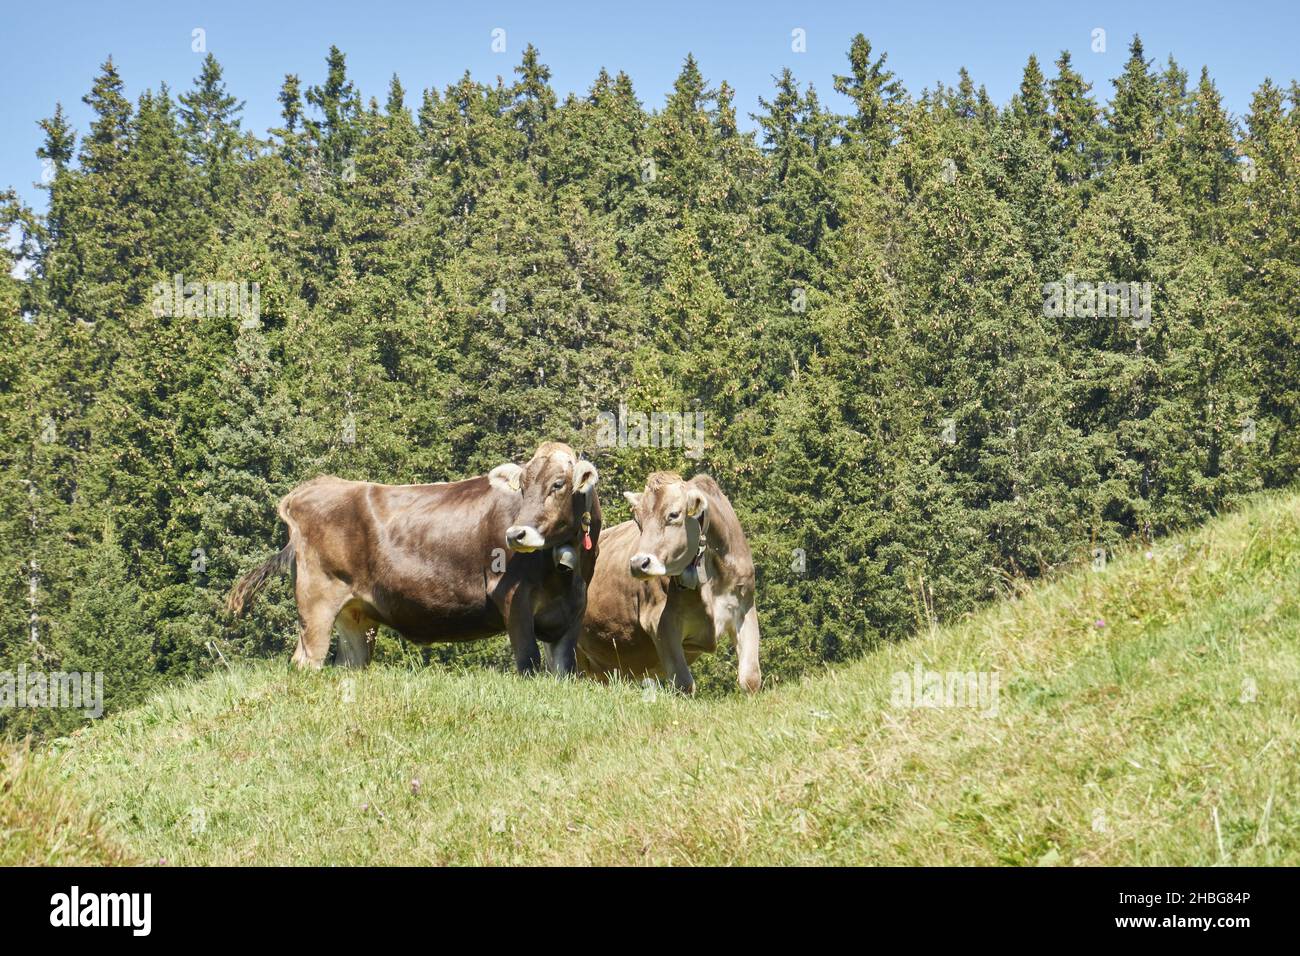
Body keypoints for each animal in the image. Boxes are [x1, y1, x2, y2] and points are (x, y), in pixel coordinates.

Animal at [226, 442, 601, 675]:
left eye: (558, 484)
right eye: (521, 486)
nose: (516, 535)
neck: (562, 576)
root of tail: (309, 488)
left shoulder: (574, 610)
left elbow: (564, 671)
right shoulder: (513, 600)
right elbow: (527, 663)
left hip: (356, 613)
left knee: (348, 663)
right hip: (316, 599)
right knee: (307, 661)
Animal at [577, 472, 761, 695]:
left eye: (673, 515)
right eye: (638, 520)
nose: (638, 563)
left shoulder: (744, 608)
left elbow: (750, 679)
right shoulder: (661, 621)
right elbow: (683, 683)